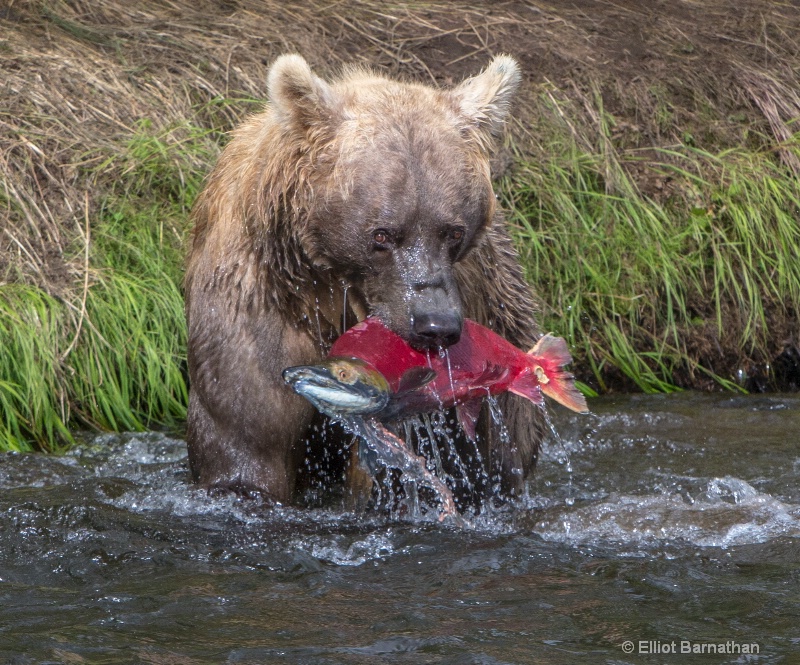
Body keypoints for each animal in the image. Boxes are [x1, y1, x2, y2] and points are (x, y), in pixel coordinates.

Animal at [184, 54, 548, 506]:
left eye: (452, 232)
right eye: (383, 234)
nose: (436, 325)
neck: (330, 288)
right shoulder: (256, 301)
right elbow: (248, 437)